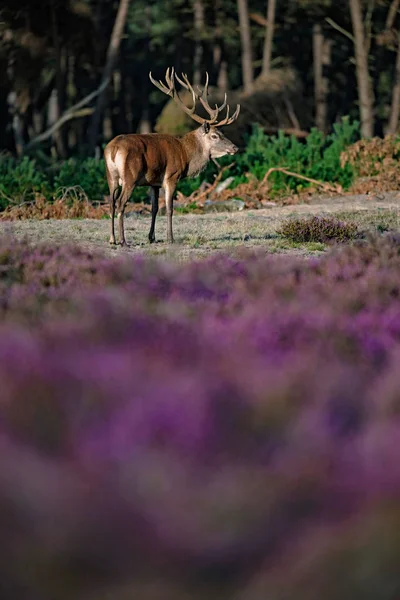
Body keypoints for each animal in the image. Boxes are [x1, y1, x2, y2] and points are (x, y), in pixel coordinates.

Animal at [104, 69, 241, 247]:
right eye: (215, 135)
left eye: (222, 133)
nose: (235, 147)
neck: (186, 155)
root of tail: (113, 149)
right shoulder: (171, 176)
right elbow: (169, 208)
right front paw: (171, 238)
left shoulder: (153, 182)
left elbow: (155, 208)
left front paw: (152, 237)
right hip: (130, 176)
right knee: (121, 203)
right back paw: (123, 241)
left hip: (111, 176)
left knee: (111, 204)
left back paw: (112, 239)